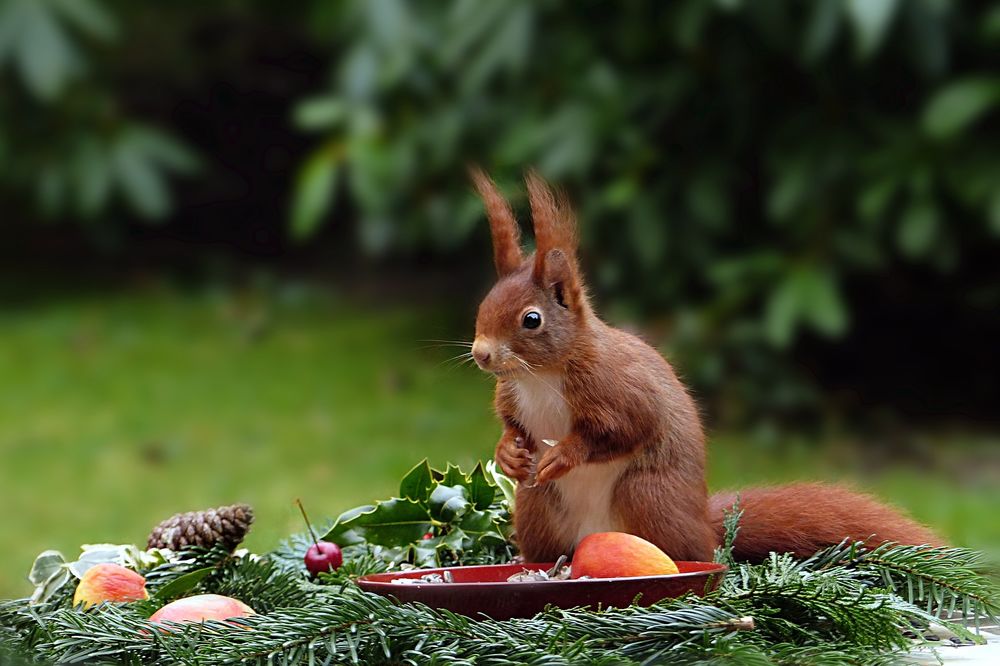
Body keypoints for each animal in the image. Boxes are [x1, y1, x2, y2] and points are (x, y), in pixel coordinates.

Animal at [468, 169, 942, 563]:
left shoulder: (615, 386)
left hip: (647, 495)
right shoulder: (512, 394)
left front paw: (564, 453)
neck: (542, 375)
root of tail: (705, 525)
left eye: (531, 319)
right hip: (537, 505)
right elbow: (513, 423)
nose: (481, 354)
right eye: (484, 304)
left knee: (695, 550)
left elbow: (627, 426)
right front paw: (508, 452)